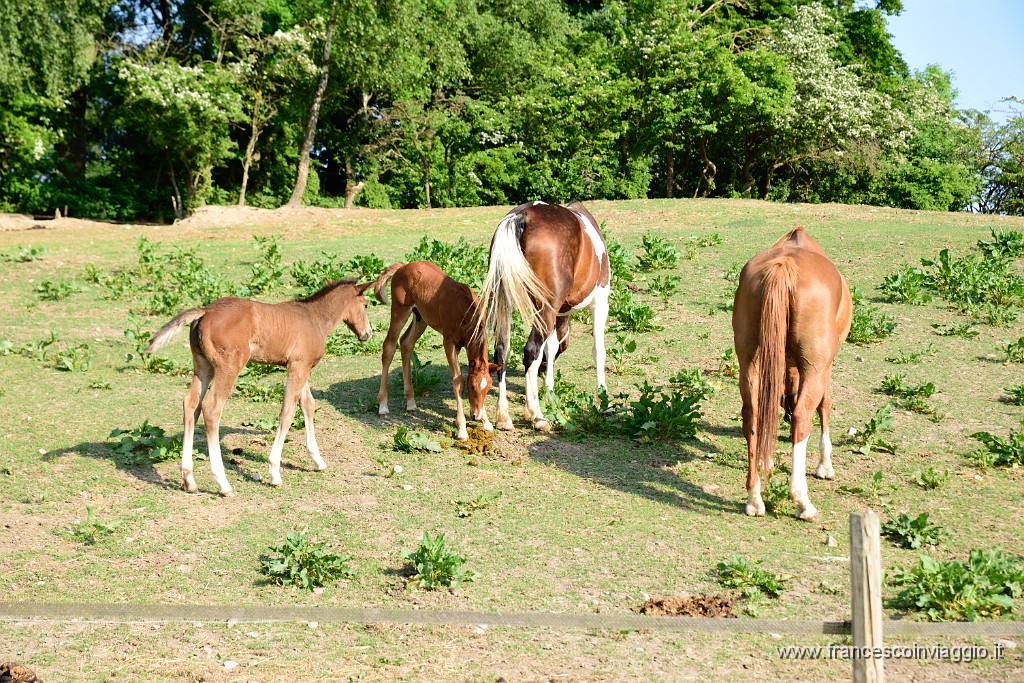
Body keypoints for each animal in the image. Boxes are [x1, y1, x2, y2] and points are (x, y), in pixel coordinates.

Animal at [146, 278, 374, 497]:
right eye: (365, 304)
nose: (368, 333)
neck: (314, 318)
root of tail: (206, 310)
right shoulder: (298, 366)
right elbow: (288, 413)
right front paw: (274, 472)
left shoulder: (300, 366)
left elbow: (308, 404)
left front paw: (318, 461)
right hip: (229, 366)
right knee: (211, 408)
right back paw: (223, 484)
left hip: (203, 367)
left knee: (191, 404)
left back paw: (189, 480)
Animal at [374, 262, 497, 444]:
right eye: (472, 387)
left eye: (488, 388)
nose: (475, 415)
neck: (464, 310)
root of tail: (402, 266)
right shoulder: (449, 343)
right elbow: (457, 381)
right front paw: (462, 429)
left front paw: (486, 421)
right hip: (399, 311)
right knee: (389, 346)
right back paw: (383, 405)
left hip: (420, 318)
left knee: (406, 343)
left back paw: (410, 401)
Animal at [477, 200, 610, 430]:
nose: (542, 372)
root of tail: (522, 216)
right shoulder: (600, 304)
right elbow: (598, 351)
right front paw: (604, 400)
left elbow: (551, 346)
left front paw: (549, 392)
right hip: (546, 309)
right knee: (531, 351)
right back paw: (537, 415)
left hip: (507, 304)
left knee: (501, 351)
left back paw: (504, 416)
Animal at [733, 227, 851, 520]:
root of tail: (784, 266)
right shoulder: (824, 367)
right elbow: (825, 405)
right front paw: (825, 465)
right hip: (815, 367)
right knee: (802, 418)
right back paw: (802, 501)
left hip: (749, 361)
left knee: (752, 416)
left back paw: (754, 498)